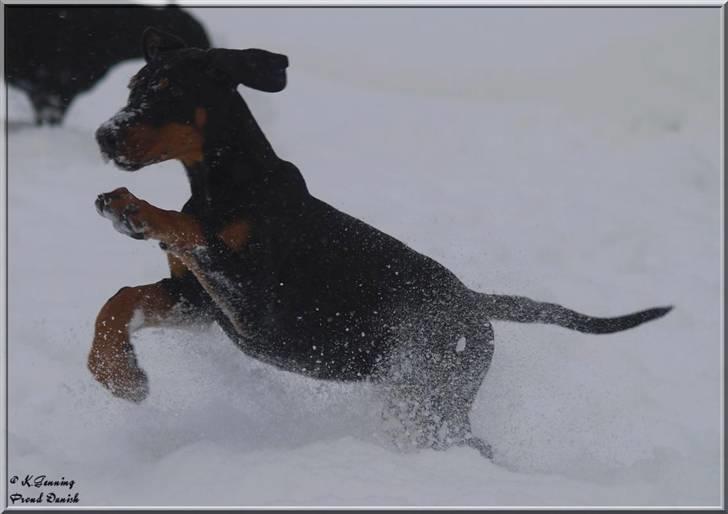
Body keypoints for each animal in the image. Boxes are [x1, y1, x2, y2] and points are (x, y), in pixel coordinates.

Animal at [89, 28, 672, 456]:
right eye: (131, 87)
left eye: (168, 90)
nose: (104, 136)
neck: (226, 186)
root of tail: (473, 304)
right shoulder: (197, 302)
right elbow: (119, 299)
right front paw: (119, 375)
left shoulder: (254, 302)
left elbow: (186, 229)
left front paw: (136, 209)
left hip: (431, 396)